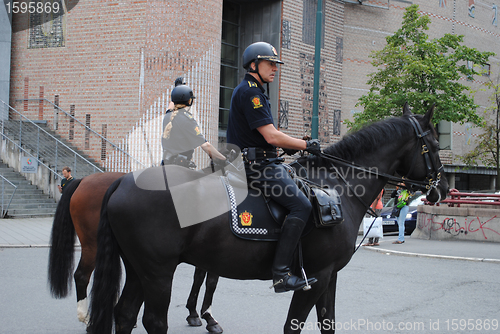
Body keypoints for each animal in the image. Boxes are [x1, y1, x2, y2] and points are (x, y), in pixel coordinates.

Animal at [47, 171, 223, 332]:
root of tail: (83, 180)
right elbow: (208, 281)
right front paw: (205, 316)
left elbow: (203, 279)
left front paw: (197, 314)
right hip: (93, 245)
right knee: (82, 276)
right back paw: (88, 318)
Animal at [88, 103, 448, 332]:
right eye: (432, 143)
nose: (442, 189)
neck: (338, 185)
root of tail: (122, 180)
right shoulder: (315, 277)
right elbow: (293, 326)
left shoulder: (329, 275)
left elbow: (328, 323)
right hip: (158, 272)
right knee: (153, 321)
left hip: (139, 270)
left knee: (124, 315)